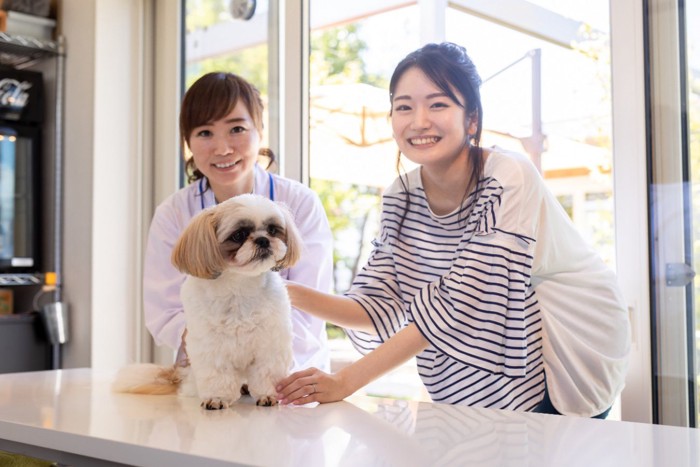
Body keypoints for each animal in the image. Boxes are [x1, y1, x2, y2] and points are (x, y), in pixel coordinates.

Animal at [113, 194, 300, 410]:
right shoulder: (211, 346)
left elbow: (266, 372)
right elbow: (217, 375)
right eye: (239, 235)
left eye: (272, 230)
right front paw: (217, 398)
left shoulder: (271, 343)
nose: (263, 240)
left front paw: (267, 395)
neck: (239, 287)